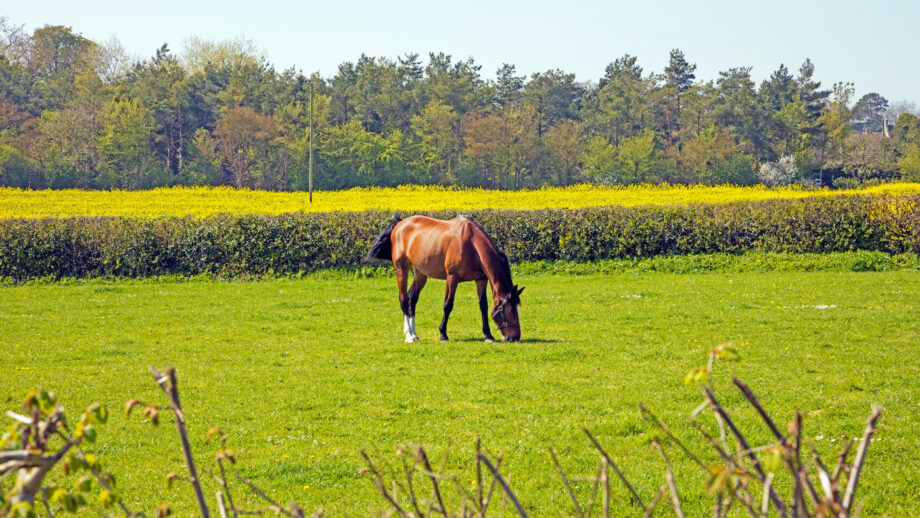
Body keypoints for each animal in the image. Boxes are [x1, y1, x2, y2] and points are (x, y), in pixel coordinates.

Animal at [365, 215, 524, 343]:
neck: (471, 244)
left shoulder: (481, 279)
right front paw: (443, 334)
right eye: (511, 310)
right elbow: (448, 305)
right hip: (401, 269)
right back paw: (409, 336)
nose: (515, 337)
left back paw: (414, 333)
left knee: (412, 299)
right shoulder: (452, 278)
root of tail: (400, 224)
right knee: (403, 299)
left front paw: (488, 335)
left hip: (420, 273)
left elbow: (483, 306)